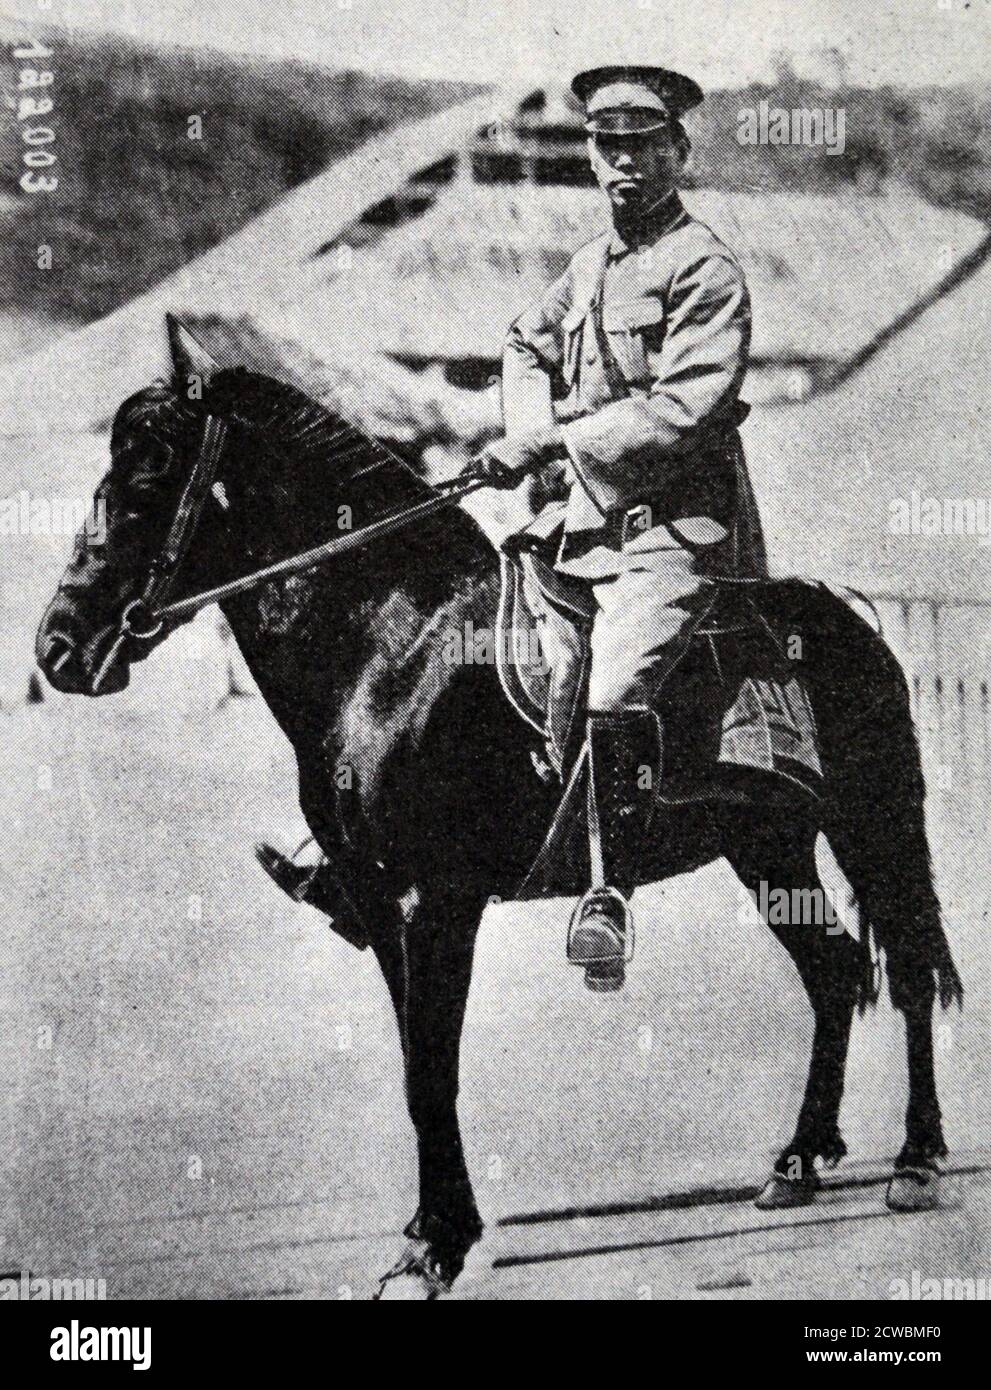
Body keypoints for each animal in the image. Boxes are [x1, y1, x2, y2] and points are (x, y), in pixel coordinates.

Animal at [36, 319, 962, 1299]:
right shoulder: (379, 900)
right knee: (833, 969)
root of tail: (851, 619)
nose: (58, 649)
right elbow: (416, 1066)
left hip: (872, 826)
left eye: (147, 478)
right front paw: (427, 1230)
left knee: (905, 970)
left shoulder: (437, 900)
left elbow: (432, 1071)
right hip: (768, 848)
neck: (395, 643)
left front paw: (435, 1245)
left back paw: (914, 1162)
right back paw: (798, 1160)